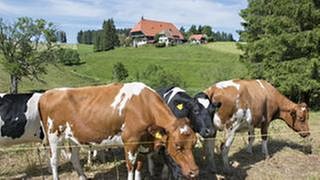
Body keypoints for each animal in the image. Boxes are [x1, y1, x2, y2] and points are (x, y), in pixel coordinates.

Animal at [38, 82, 199, 180]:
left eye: (193, 144)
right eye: (177, 146)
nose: (194, 171)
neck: (144, 105)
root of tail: (47, 93)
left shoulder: (142, 142)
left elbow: (139, 165)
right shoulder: (130, 141)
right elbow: (130, 166)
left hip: (73, 137)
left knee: (74, 158)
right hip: (53, 135)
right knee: (54, 160)